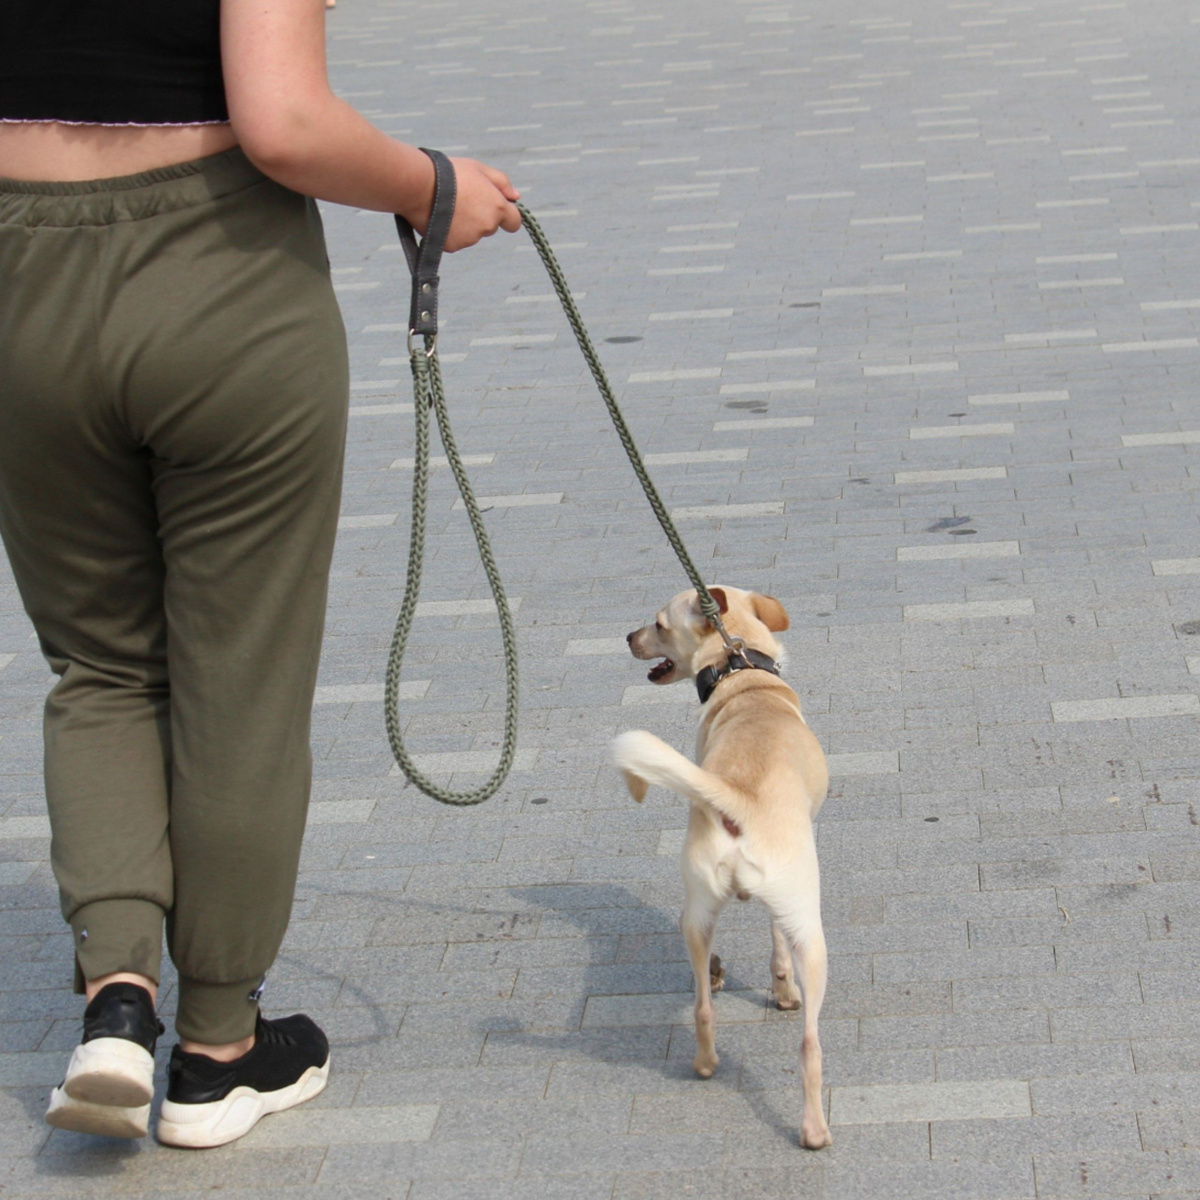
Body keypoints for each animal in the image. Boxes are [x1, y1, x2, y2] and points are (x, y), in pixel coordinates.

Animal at [614, 585, 830, 1147]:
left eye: (658, 625)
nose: (628, 637)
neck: (741, 673)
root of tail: (738, 798)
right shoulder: (785, 908)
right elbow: (778, 952)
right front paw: (784, 992)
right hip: (810, 929)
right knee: (806, 1041)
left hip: (698, 916)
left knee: (709, 1009)